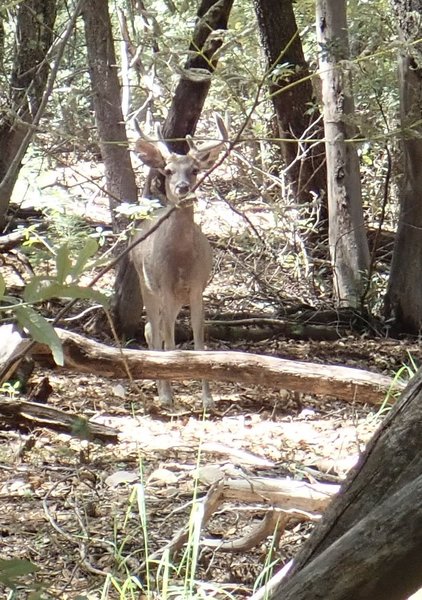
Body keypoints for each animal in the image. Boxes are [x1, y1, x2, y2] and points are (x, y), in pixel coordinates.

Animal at [131, 116, 227, 408]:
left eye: (195, 170)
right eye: (168, 170)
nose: (182, 188)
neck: (182, 259)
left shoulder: (197, 287)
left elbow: (199, 342)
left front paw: (208, 399)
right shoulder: (163, 286)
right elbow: (170, 342)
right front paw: (167, 395)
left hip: (173, 298)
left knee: (155, 329)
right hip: (146, 285)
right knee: (155, 332)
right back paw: (161, 390)